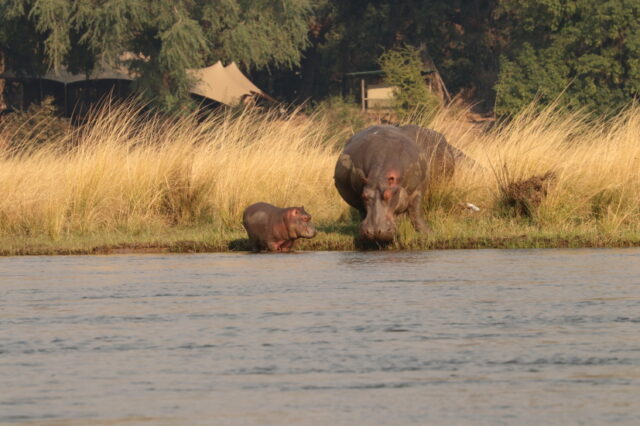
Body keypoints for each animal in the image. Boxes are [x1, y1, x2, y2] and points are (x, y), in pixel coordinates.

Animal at [334, 125, 463, 243]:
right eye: (364, 196)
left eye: (388, 195)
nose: (375, 232)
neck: (379, 176)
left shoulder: (417, 189)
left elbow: (415, 213)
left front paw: (430, 234)